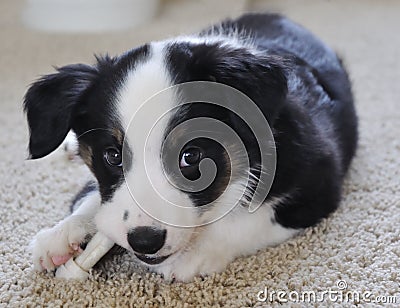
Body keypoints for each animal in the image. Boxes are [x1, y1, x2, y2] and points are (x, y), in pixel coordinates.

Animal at [24, 13, 356, 282]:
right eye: (112, 156)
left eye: (191, 155)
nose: (145, 241)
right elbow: (96, 198)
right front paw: (61, 235)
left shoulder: (318, 181)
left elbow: (251, 219)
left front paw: (195, 253)